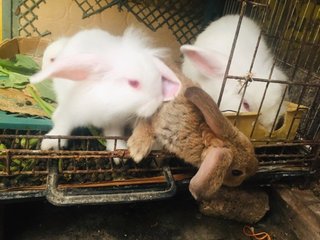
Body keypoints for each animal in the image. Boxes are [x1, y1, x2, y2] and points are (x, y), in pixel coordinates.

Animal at [31, 27, 181, 155]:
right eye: (133, 83)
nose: (156, 104)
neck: (107, 102)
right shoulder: (69, 113)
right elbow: (61, 128)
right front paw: (48, 144)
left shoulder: (114, 123)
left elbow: (113, 136)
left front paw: (119, 152)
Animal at [126, 62, 258, 201]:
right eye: (236, 172)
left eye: (250, 145)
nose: (256, 168)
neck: (200, 132)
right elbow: (145, 122)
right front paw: (137, 150)